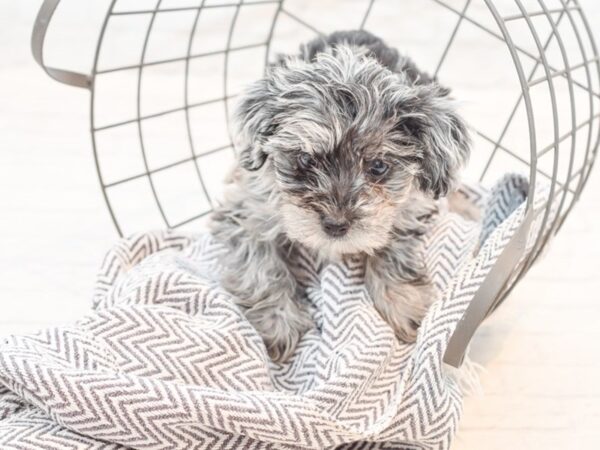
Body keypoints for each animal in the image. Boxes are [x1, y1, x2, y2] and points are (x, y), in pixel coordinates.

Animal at [211, 29, 468, 360]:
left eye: (378, 166)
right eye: (305, 159)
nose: (335, 225)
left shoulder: (410, 207)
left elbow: (394, 248)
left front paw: (404, 302)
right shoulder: (246, 212)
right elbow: (261, 267)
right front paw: (278, 321)